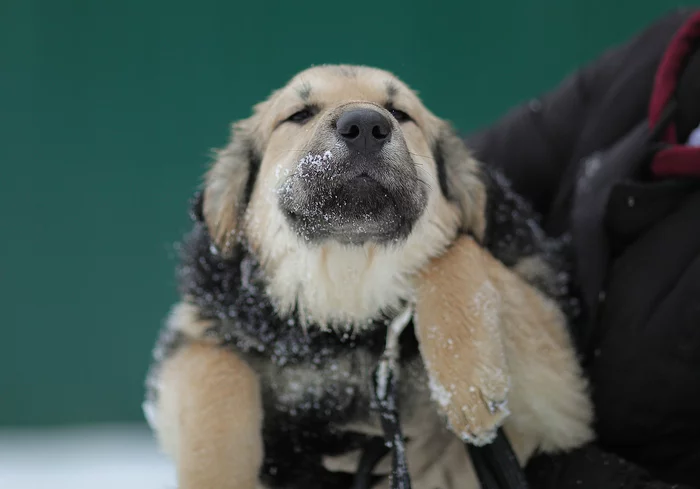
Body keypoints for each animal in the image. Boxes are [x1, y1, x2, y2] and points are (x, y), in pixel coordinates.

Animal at [145, 65, 592, 488]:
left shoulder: (560, 401)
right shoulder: (192, 336)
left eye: (400, 113)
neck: (347, 303)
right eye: (299, 114)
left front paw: (467, 385)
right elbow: (217, 379)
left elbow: (454, 253)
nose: (364, 125)